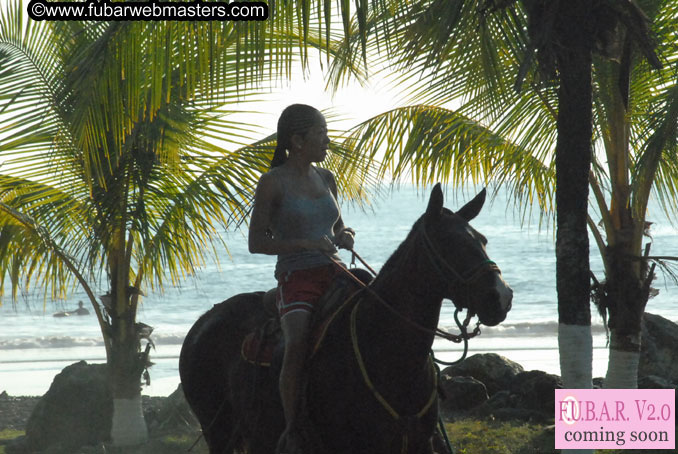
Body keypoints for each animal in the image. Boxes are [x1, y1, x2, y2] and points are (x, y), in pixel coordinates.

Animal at [178, 185, 512, 454]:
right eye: (450, 243)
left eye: (482, 240)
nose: (502, 296)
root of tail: (204, 321)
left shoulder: (419, 444)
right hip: (218, 432)